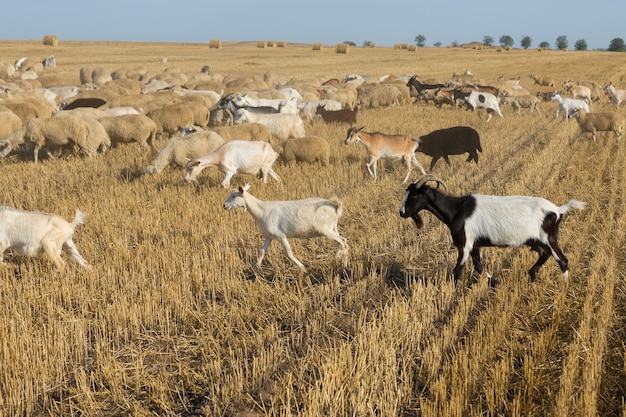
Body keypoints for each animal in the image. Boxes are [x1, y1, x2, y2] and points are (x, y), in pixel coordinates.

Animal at [400, 174, 584, 282]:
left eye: (415, 196)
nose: (402, 212)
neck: (457, 210)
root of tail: (558, 210)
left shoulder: (465, 243)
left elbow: (457, 270)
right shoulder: (474, 244)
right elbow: (478, 266)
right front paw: (493, 281)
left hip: (548, 237)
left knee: (562, 259)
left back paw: (563, 288)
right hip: (537, 240)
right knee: (545, 254)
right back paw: (532, 275)